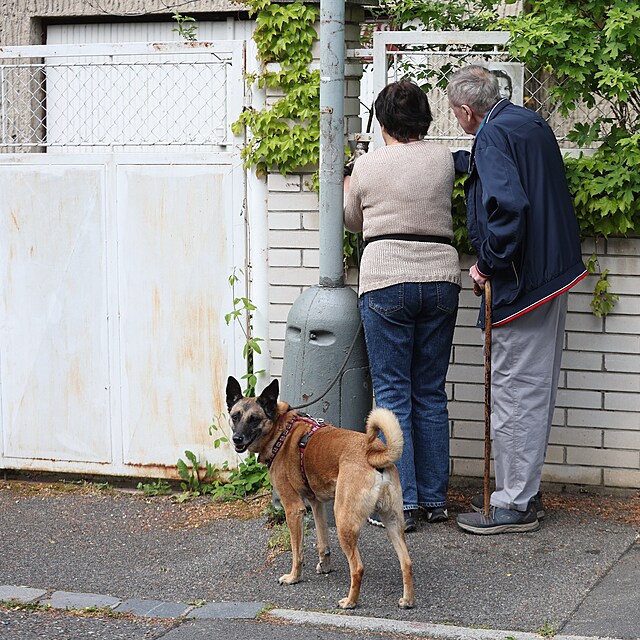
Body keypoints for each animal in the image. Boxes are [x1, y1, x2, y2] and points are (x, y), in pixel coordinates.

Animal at [225, 376, 416, 608]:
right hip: (393, 522)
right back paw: (407, 600)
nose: (237, 438)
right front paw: (325, 566)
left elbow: (297, 552)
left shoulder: (294, 509)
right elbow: (322, 541)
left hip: (344, 520)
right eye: (235, 416)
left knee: (358, 567)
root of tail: (375, 453)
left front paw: (294, 577)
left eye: (254, 419)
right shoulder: (316, 504)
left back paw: (350, 601)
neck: (281, 430)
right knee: (406, 562)